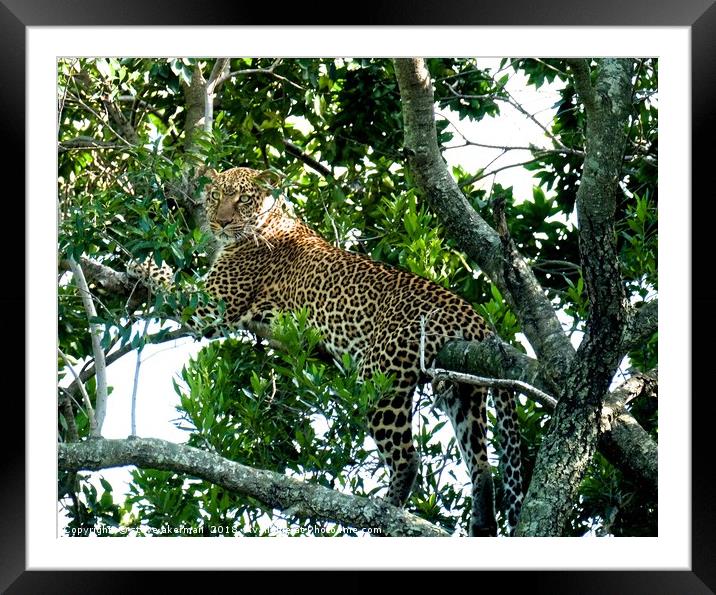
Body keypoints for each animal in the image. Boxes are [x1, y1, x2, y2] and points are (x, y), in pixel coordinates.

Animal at [130, 165, 520, 536]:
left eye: (243, 200)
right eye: (214, 196)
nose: (220, 222)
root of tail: (471, 312)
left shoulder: (213, 306)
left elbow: (170, 280)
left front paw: (138, 263)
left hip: (381, 377)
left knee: (408, 459)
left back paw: (386, 513)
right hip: (464, 388)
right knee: (481, 460)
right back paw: (482, 523)